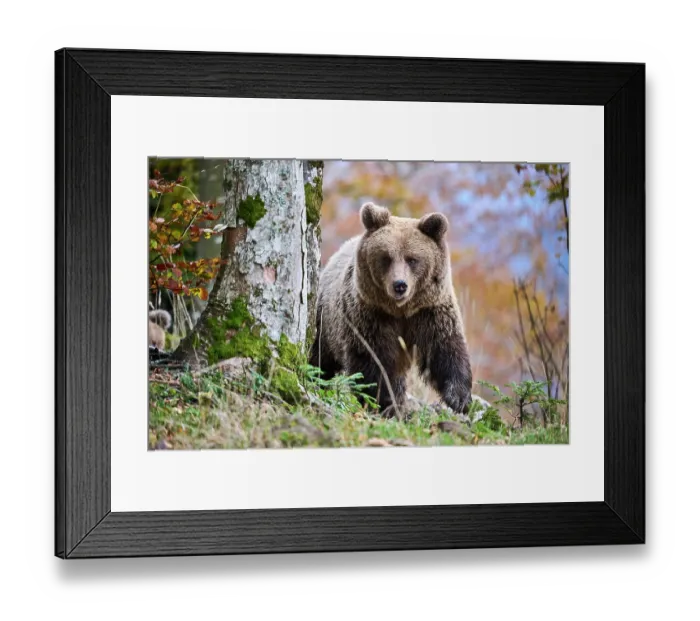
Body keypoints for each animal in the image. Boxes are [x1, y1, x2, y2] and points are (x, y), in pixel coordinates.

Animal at [310, 202, 472, 417]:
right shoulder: (371, 316)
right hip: (325, 323)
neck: (401, 310)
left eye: (412, 259)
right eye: (386, 257)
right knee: (320, 358)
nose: (400, 285)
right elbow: (374, 361)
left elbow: (445, 348)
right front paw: (383, 401)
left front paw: (459, 398)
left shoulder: (430, 312)